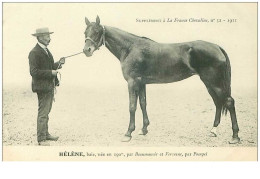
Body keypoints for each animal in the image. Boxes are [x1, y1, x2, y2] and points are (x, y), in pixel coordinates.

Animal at [83, 15, 240, 144]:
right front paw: (144, 129)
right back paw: (213, 131)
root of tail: (217, 47)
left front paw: (128, 133)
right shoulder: (141, 83)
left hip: (214, 82)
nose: (86, 50)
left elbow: (132, 106)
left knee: (229, 102)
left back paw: (235, 137)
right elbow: (143, 104)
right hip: (209, 83)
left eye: (97, 31)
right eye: (85, 32)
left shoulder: (132, 82)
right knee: (218, 103)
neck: (130, 48)